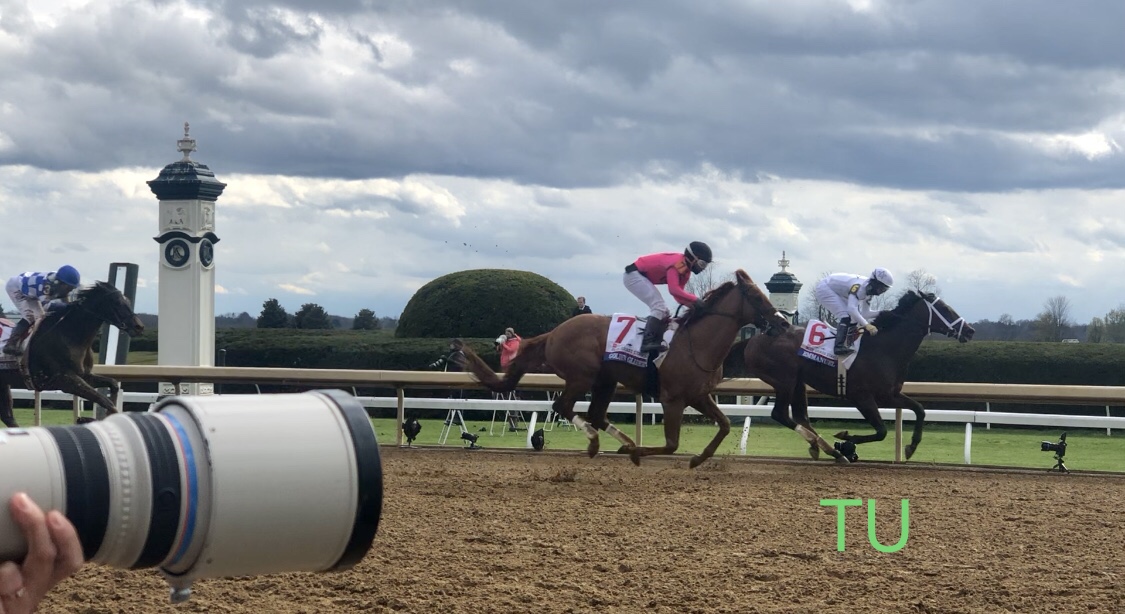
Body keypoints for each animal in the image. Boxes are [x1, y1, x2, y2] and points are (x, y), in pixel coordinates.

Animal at [0, 282, 145, 425]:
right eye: (116, 302)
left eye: (128, 301)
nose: (139, 326)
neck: (70, 336)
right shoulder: (65, 380)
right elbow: (106, 402)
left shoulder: (84, 376)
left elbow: (113, 384)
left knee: (8, 417)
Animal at [456, 267, 792, 463]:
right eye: (756, 296)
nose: (783, 323)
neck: (697, 342)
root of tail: (555, 332)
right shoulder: (673, 399)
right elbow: (671, 445)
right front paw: (637, 453)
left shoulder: (699, 395)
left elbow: (723, 425)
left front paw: (699, 458)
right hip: (581, 377)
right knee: (564, 407)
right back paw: (598, 443)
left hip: (604, 381)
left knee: (595, 413)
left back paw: (621, 441)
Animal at [742, 290, 972, 458]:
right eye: (945, 309)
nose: (970, 330)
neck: (885, 348)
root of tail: (755, 339)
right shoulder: (861, 396)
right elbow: (881, 431)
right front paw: (846, 441)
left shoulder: (889, 395)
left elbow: (919, 409)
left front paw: (911, 446)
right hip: (785, 380)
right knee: (780, 414)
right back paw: (830, 449)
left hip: (798, 382)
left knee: (800, 416)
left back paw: (822, 447)